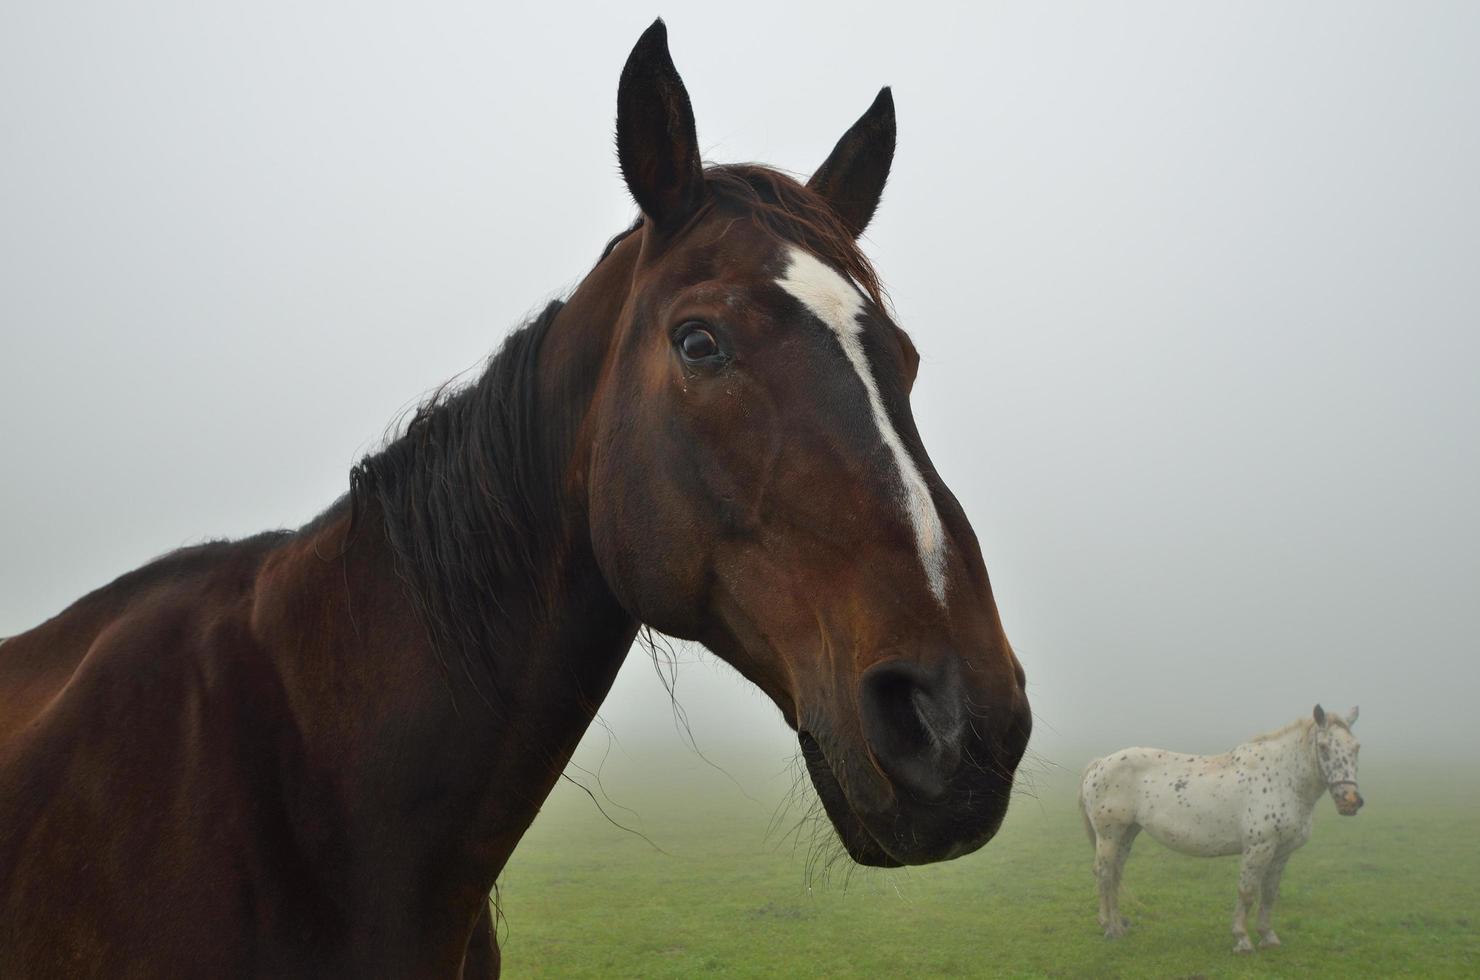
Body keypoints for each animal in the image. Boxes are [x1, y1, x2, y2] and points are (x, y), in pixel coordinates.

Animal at [1083, 710, 1355, 953]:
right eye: (1323, 747)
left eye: (1356, 748)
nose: (1350, 801)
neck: (1282, 778)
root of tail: (1099, 764)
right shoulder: (1259, 848)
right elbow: (1247, 892)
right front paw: (1242, 939)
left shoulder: (1282, 852)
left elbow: (1269, 894)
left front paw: (1268, 936)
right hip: (1109, 835)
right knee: (1104, 874)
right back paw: (1109, 927)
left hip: (1127, 833)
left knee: (1116, 874)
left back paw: (1118, 926)